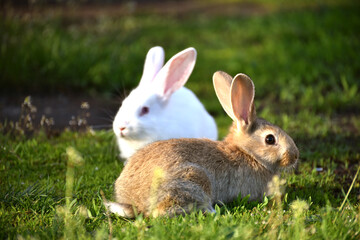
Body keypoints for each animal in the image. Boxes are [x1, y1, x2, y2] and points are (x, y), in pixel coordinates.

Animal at [105, 71, 300, 218]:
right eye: (270, 139)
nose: (294, 156)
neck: (249, 153)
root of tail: (134, 203)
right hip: (192, 180)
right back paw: (213, 211)